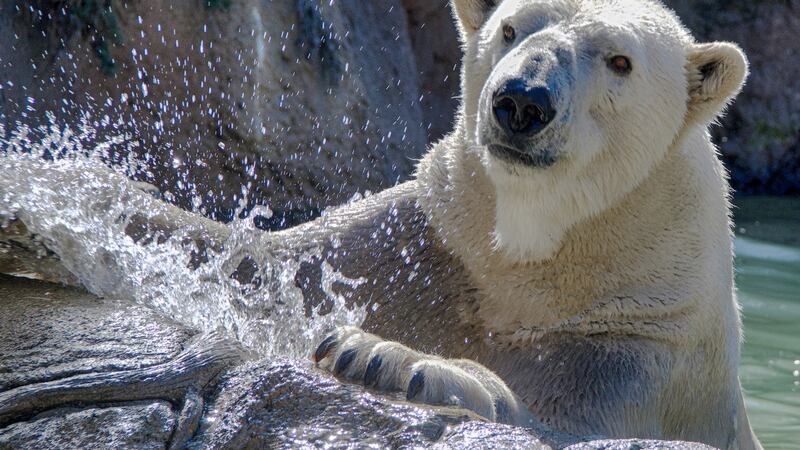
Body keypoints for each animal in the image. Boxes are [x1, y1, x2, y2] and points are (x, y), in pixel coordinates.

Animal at [287, 0, 762, 448]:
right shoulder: (422, 242)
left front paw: (386, 357)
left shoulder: (639, 356)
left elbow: (550, 421)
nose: (522, 100)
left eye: (620, 61)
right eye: (509, 29)